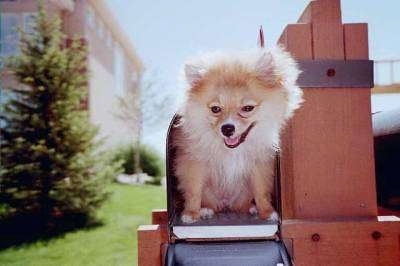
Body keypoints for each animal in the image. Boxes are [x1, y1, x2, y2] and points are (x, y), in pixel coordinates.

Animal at [173, 46, 302, 223]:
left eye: (247, 108)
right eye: (215, 109)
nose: (227, 128)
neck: (231, 150)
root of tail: (225, 203)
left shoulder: (258, 167)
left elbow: (261, 191)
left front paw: (267, 212)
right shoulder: (194, 164)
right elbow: (194, 191)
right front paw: (191, 213)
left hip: (242, 194)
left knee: (241, 204)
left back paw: (251, 208)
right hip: (211, 195)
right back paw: (205, 210)